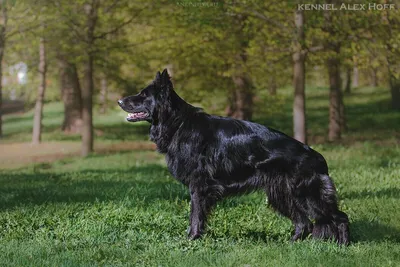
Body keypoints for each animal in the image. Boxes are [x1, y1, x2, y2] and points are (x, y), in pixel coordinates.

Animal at [117, 70, 348, 246]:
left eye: (143, 95)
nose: (119, 101)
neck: (178, 123)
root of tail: (318, 157)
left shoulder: (199, 186)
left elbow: (195, 216)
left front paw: (192, 239)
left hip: (307, 195)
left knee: (339, 218)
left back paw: (342, 246)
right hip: (282, 196)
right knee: (304, 223)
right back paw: (292, 243)